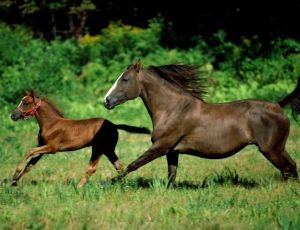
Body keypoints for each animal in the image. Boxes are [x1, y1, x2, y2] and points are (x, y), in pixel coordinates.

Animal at [10, 90, 150, 187]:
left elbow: (29, 151)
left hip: (98, 148)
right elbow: (30, 165)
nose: (13, 115)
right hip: (108, 149)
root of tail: (114, 125)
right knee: (119, 165)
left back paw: (79, 186)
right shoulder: (43, 148)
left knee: (92, 168)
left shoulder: (52, 148)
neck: (51, 124)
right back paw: (123, 184)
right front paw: (14, 182)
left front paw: (15, 174)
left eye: (26, 103)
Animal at [104, 60, 298, 187]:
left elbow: (133, 165)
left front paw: (107, 183)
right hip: (277, 149)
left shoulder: (161, 147)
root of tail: (279, 106)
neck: (173, 110)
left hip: (272, 150)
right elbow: (171, 175)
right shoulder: (172, 151)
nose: (106, 101)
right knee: (291, 168)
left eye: (125, 79)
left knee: (289, 168)